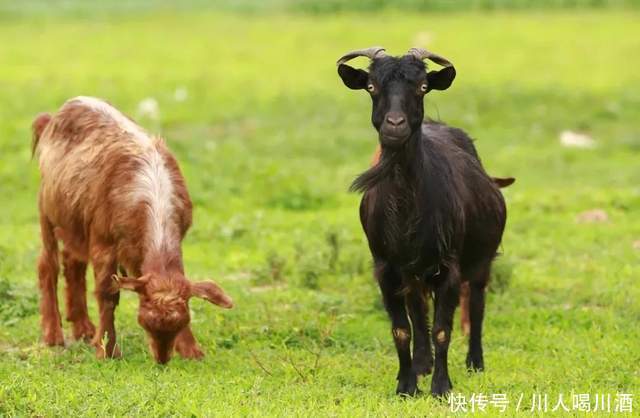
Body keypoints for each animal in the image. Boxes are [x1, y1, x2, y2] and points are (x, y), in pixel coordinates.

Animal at [32, 95, 232, 362]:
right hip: (47, 209)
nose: (162, 359)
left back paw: (83, 328)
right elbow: (107, 293)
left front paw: (191, 350)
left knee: (72, 262)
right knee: (48, 265)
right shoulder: (103, 242)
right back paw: (54, 335)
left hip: (75, 223)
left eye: (180, 324)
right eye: (144, 322)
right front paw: (107, 350)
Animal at [338, 47, 512, 396]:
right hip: (414, 272)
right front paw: (407, 385)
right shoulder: (386, 268)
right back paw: (421, 364)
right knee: (419, 312)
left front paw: (441, 387)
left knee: (476, 304)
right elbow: (402, 329)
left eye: (422, 87)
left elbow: (443, 329)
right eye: (371, 87)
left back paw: (475, 362)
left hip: (481, 261)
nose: (395, 124)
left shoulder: (449, 266)